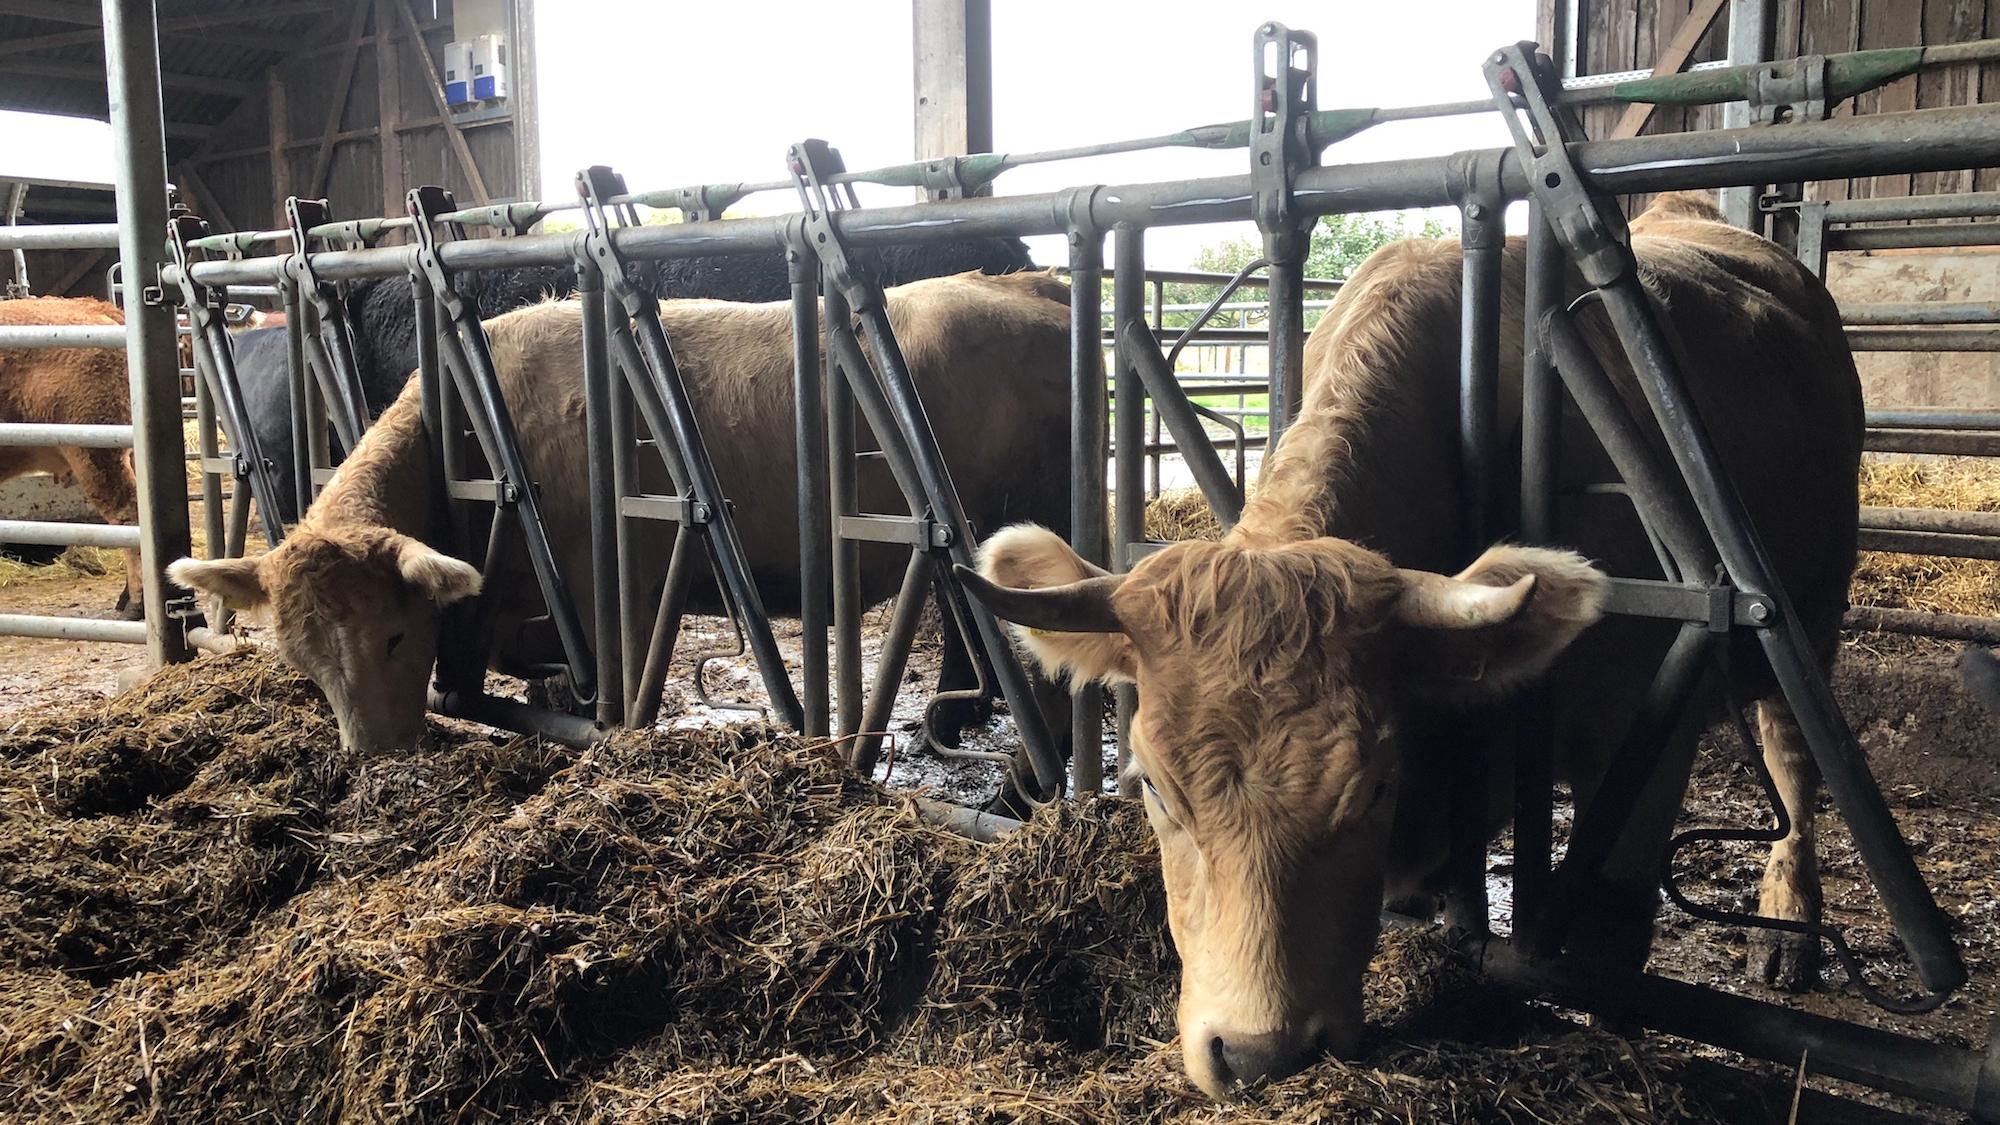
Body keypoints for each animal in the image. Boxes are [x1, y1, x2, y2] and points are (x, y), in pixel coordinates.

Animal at [960, 195, 1864, 1096]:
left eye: (1373, 786)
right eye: (1150, 784)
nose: (1258, 1053)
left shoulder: (1640, 735)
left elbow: (1612, 938)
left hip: (1808, 613)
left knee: (1794, 752)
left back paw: (1788, 925)